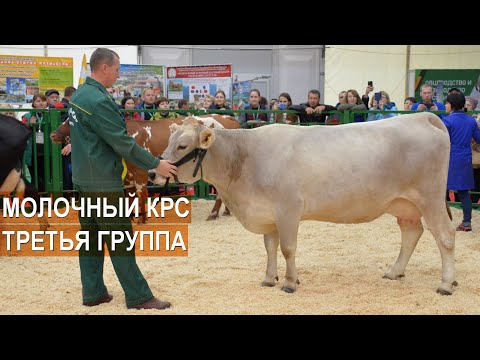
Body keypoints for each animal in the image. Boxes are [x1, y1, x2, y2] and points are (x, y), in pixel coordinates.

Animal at [150, 113, 458, 296]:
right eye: (169, 141)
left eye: (182, 146)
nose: (154, 172)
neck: (246, 158)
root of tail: (423, 116)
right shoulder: (268, 214)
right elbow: (270, 247)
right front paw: (269, 278)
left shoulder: (288, 210)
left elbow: (288, 248)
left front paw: (289, 282)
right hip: (403, 204)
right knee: (411, 232)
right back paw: (395, 271)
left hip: (431, 197)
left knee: (445, 236)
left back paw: (445, 283)